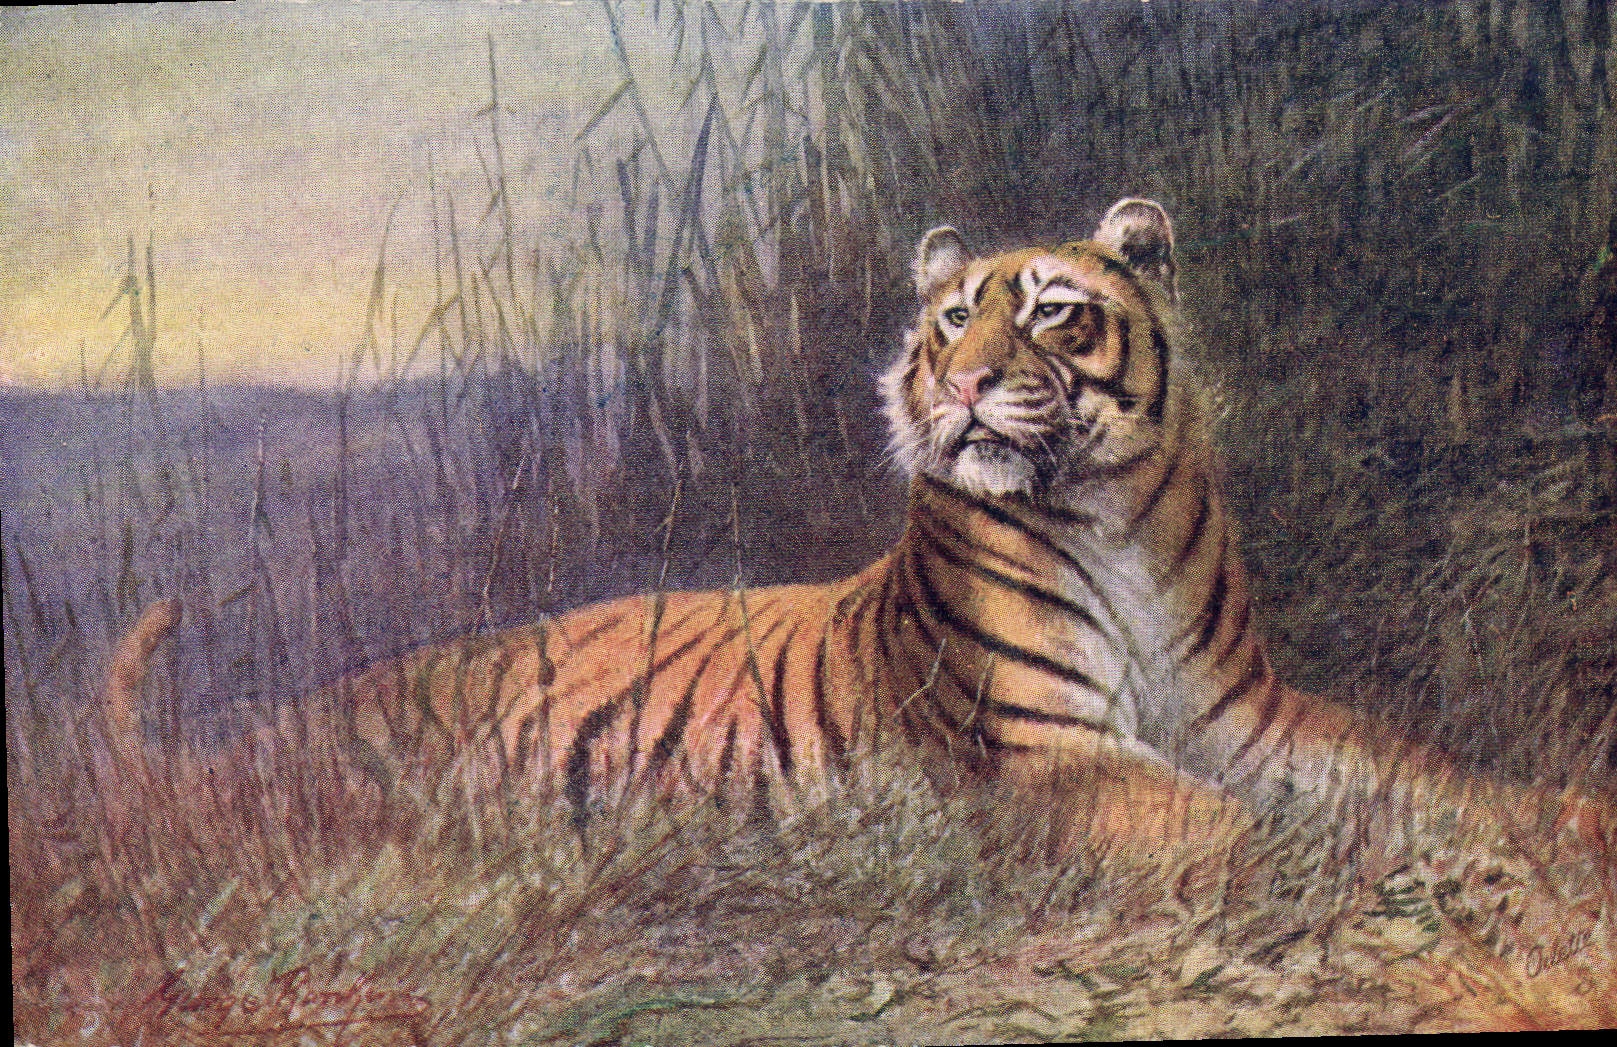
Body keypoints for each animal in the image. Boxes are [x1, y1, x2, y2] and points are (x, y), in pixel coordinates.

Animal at [107, 197, 1604, 854]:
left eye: (1052, 309)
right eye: (950, 318)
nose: (960, 381)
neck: (1108, 513)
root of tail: (267, 730)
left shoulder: (1253, 716)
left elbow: (1423, 770)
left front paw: (1563, 818)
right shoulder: (1054, 752)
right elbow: (1232, 828)